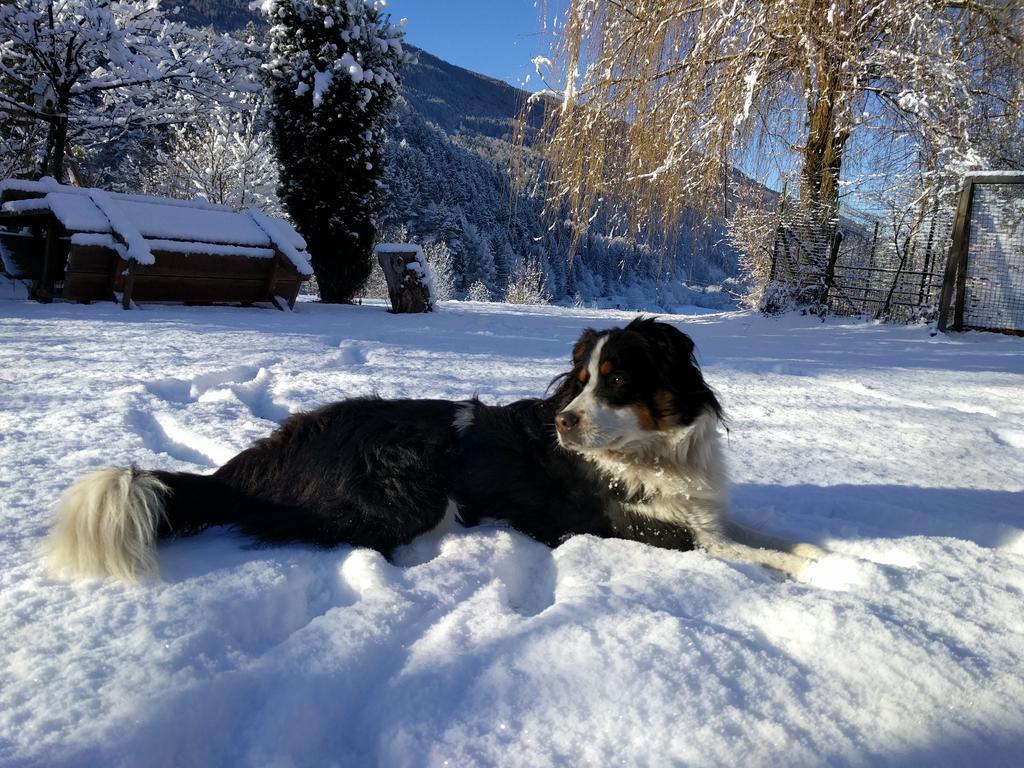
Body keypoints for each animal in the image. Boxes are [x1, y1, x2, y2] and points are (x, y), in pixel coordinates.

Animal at [46, 319, 823, 581]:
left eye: (618, 379)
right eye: (579, 381)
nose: (565, 423)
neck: (653, 454)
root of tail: (263, 455)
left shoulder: (700, 511)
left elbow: (762, 535)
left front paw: (823, 554)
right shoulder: (639, 527)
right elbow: (741, 553)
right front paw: (814, 572)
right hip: (405, 470)